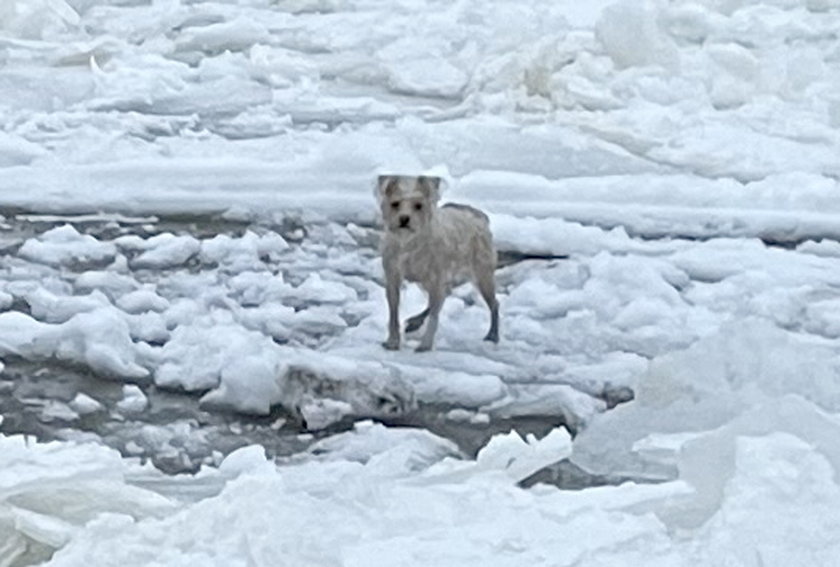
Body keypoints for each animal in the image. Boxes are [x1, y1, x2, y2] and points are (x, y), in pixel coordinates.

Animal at [376, 174, 498, 350]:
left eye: (418, 206)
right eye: (395, 204)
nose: (404, 219)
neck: (409, 243)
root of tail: (480, 217)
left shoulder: (437, 277)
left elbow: (434, 315)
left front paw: (425, 344)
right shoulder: (393, 276)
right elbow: (394, 311)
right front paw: (392, 341)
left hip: (483, 274)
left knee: (494, 304)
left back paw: (493, 335)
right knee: (444, 295)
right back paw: (414, 322)